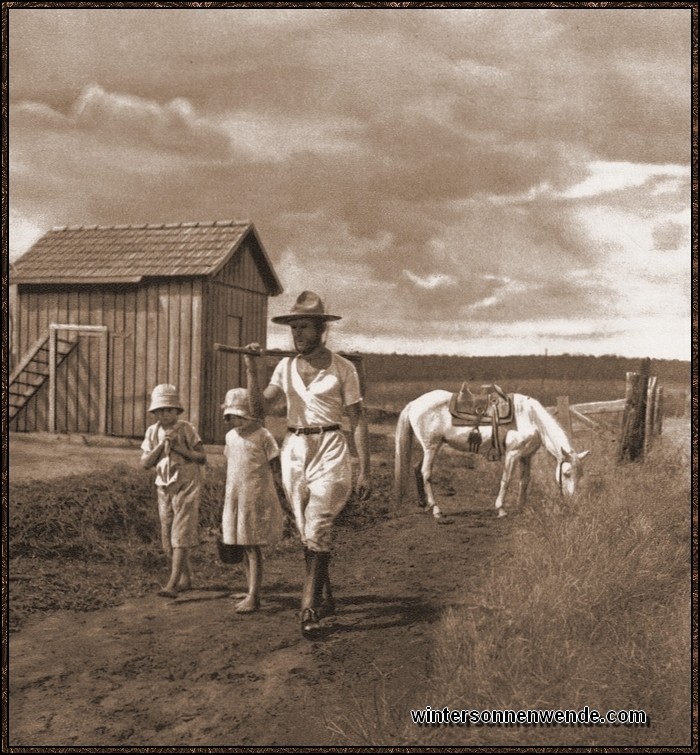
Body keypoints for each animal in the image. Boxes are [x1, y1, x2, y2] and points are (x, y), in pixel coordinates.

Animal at [396, 386, 588, 524]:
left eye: (580, 475)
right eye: (566, 474)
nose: (572, 500)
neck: (530, 418)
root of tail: (414, 403)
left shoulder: (526, 456)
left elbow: (524, 481)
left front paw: (521, 507)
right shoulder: (512, 454)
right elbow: (506, 480)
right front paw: (501, 509)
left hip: (431, 447)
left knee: (416, 468)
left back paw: (425, 505)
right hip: (431, 447)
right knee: (425, 473)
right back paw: (436, 510)